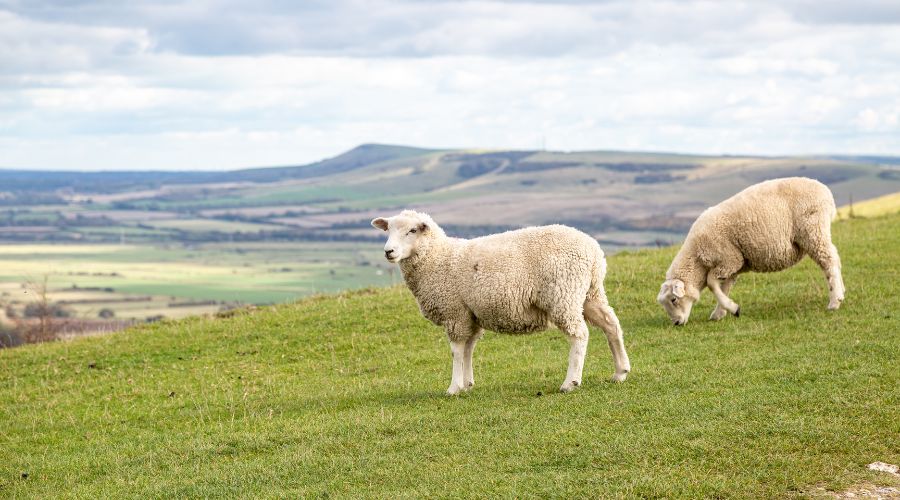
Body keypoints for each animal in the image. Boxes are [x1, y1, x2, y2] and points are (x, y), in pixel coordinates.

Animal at [370, 211, 628, 394]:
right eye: (388, 230)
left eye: (412, 230)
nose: (388, 251)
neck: (437, 257)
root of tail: (593, 250)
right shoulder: (470, 314)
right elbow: (468, 348)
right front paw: (467, 384)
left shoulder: (454, 312)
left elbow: (456, 351)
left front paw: (454, 387)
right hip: (589, 293)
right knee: (611, 324)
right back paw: (621, 372)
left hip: (563, 294)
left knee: (579, 335)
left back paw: (570, 382)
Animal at [652, 178, 844, 326]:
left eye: (674, 299)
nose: (676, 323)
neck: (697, 258)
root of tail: (825, 191)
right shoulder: (731, 267)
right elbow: (724, 288)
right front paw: (721, 312)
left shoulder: (729, 259)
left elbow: (712, 283)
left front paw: (732, 309)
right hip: (817, 232)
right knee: (834, 258)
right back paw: (840, 293)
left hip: (813, 231)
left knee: (829, 261)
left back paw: (835, 300)